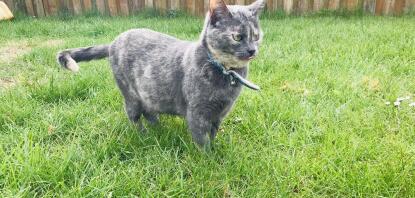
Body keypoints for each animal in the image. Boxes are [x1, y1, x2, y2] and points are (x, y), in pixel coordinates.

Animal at [57, 0, 266, 148]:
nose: (252, 50)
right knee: (134, 115)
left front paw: (215, 149)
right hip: (131, 94)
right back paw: (144, 135)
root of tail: (113, 42)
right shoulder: (197, 113)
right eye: (237, 37)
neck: (226, 75)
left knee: (149, 112)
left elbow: (213, 134)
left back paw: (159, 129)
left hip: (149, 94)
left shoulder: (220, 113)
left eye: (256, 36)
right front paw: (209, 160)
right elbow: (202, 141)